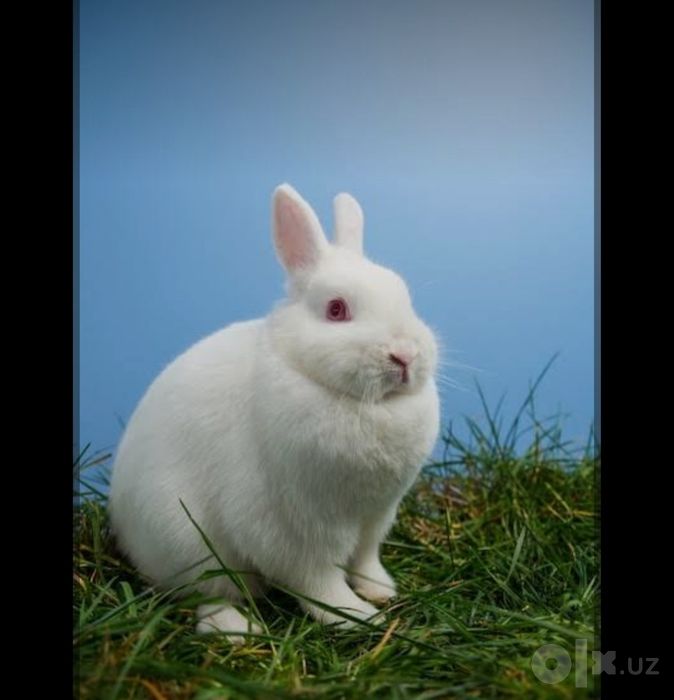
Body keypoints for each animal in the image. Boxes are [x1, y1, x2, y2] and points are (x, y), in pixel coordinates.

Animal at [108, 183, 440, 642]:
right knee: (207, 594)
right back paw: (237, 629)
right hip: (188, 540)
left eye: (405, 296)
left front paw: (380, 590)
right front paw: (355, 616)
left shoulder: (376, 517)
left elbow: (364, 559)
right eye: (336, 310)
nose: (405, 355)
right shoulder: (294, 529)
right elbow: (317, 581)